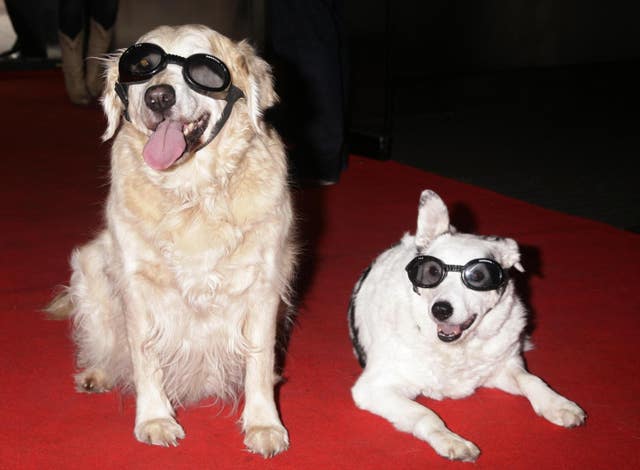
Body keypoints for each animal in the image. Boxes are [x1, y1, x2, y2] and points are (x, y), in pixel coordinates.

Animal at [46, 23, 296, 458]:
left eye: (206, 71)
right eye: (141, 67)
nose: (158, 96)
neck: (192, 193)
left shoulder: (263, 284)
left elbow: (260, 359)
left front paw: (264, 424)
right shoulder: (136, 285)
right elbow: (144, 353)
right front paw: (155, 419)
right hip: (90, 267)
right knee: (104, 342)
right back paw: (98, 373)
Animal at [348, 189, 588, 460]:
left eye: (478, 276)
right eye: (431, 272)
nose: (441, 309)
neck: (455, 349)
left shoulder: (502, 368)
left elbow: (532, 380)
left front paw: (557, 404)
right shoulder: (374, 388)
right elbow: (425, 414)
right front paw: (450, 439)